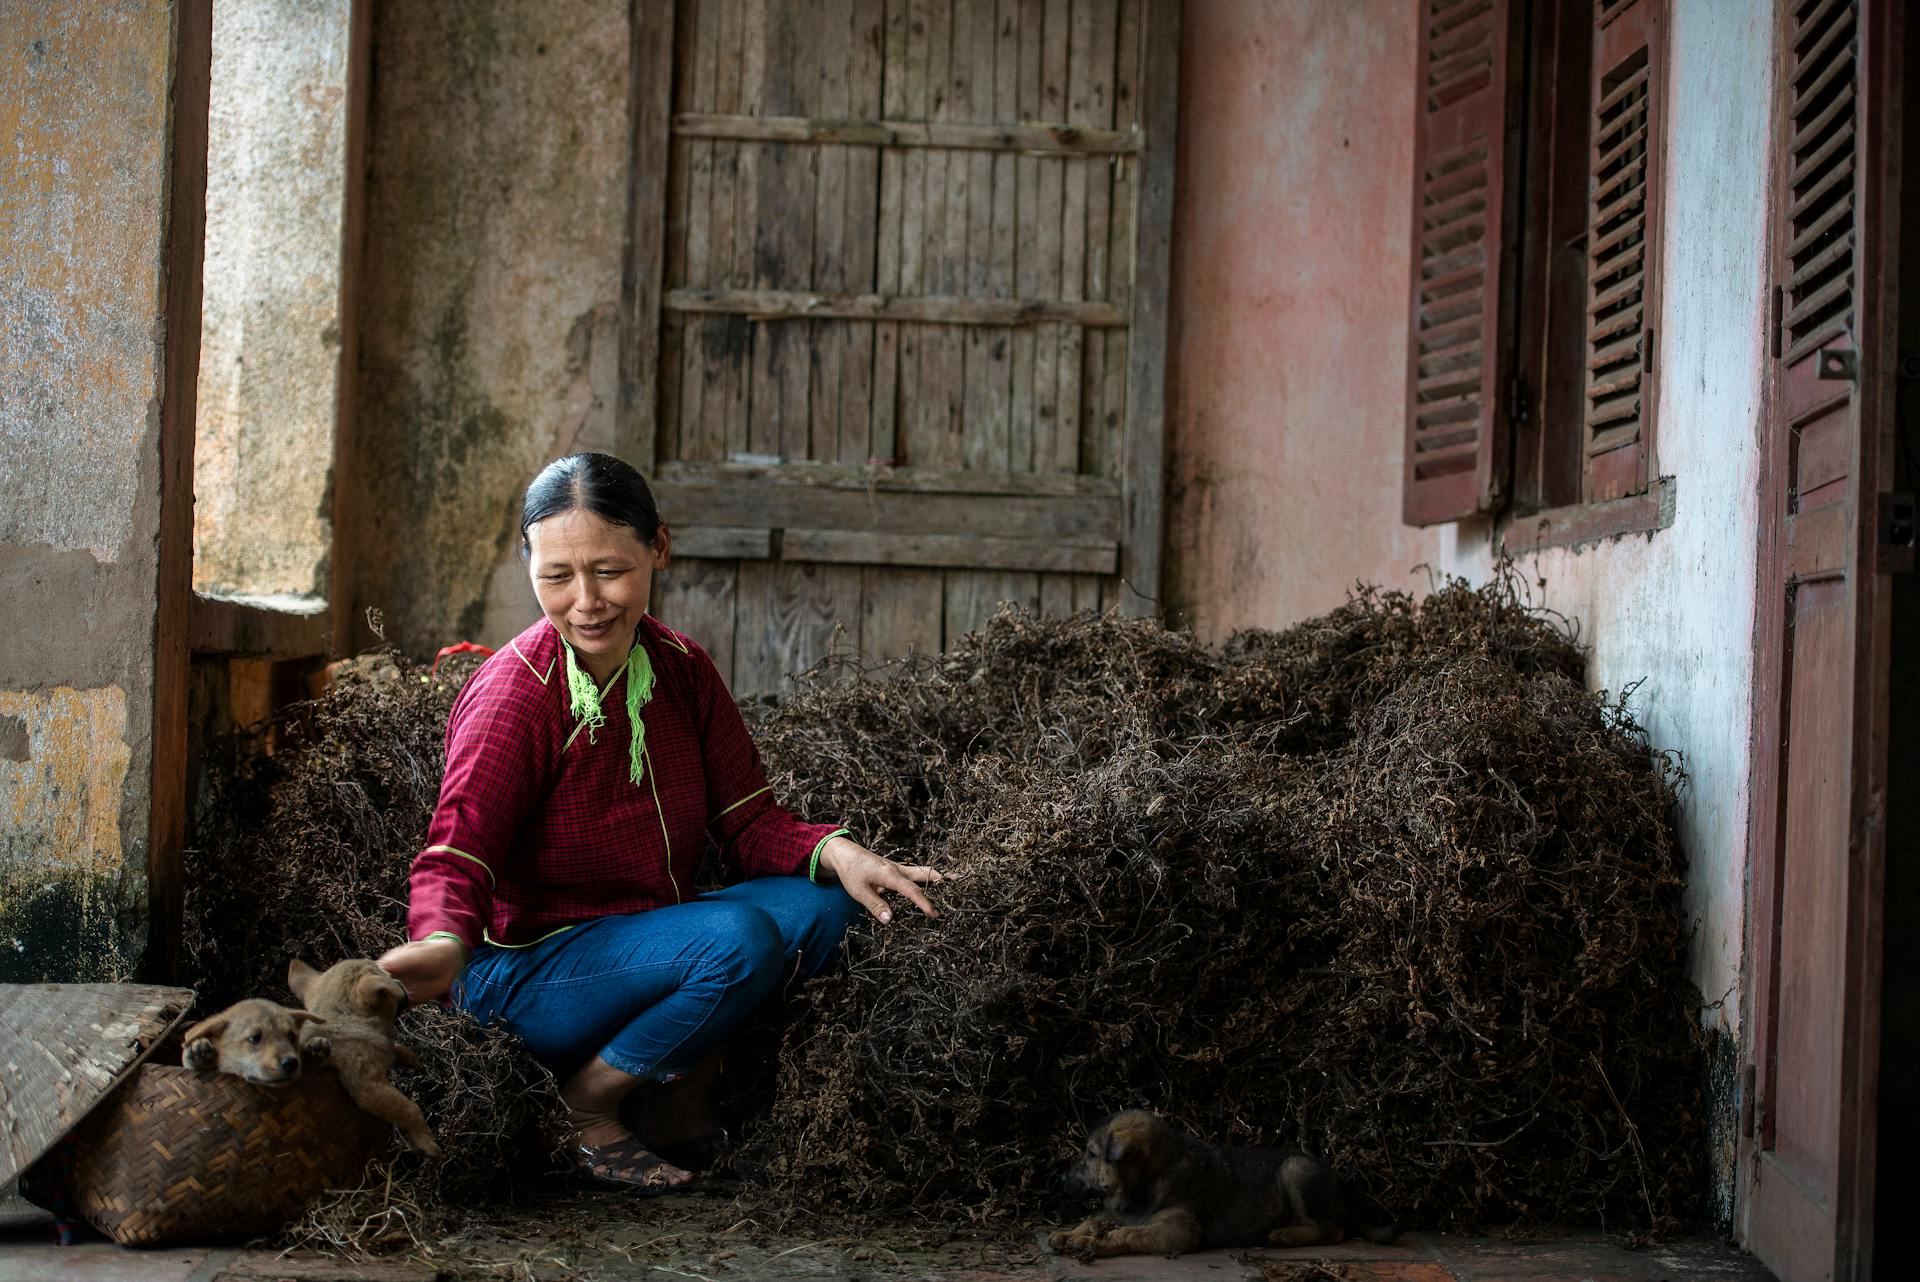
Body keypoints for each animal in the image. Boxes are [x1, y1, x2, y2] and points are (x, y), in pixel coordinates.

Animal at [286, 955, 439, 1159]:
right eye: (387, 978)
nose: (400, 983)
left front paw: (413, 1059)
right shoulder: (367, 1085)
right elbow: (409, 1109)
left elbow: (396, 1048)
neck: (344, 1020)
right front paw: (428, 1144)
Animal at [1052, 1105, 1397, 1258]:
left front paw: (1091, 1243)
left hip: (1296, 1169)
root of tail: (1344, 1186)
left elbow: (1125, 1233)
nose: (1061, 1178)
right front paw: (1068, 1234)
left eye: (1091, 1153)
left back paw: (1285, 1235)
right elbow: (1094, 1219)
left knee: (1334, 1229)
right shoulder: (1117, 1212)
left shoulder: (1176, 1231)